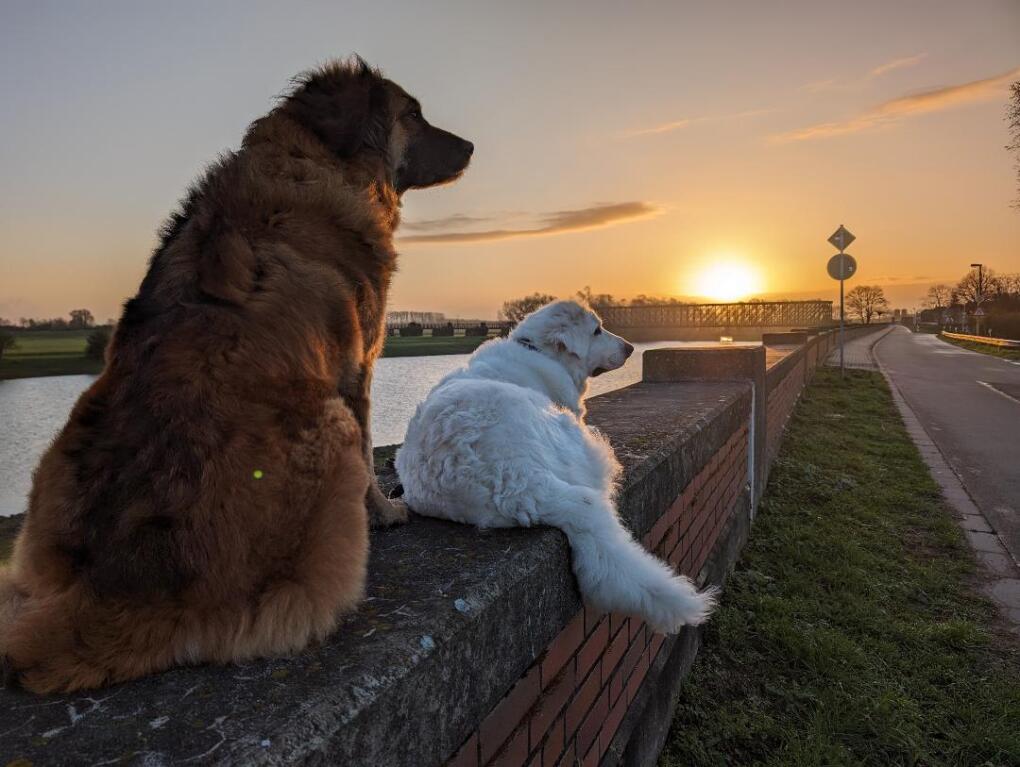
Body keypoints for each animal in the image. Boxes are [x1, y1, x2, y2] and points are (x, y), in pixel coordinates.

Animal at [0, 56, 469, 693]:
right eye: (413, 114)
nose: (470, 147)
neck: (311, 160)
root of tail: (111, 592)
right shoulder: (359, 369)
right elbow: (373, 453)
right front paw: (388, 512)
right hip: (331, 427)